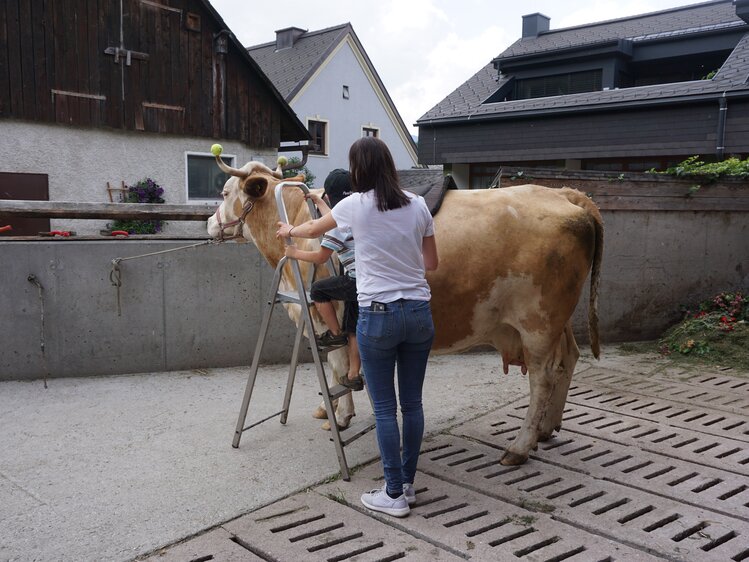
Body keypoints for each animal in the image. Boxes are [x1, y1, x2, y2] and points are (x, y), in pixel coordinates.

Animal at [209, 158, 600, 464]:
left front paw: (341, 416)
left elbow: (336, 365)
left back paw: (519, 446)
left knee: (542, 377)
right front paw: (331, 409)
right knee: (568, 358)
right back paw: (545, 430)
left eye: (225, 193)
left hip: (537, 324)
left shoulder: (321, 316)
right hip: (558, 322)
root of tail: (563, 193)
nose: (210, 223)